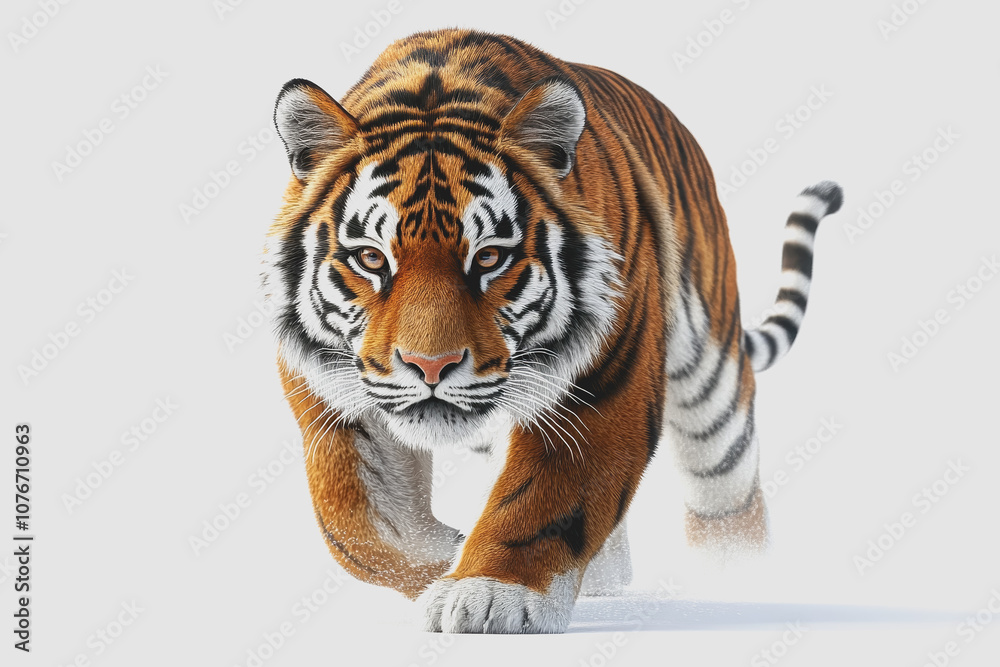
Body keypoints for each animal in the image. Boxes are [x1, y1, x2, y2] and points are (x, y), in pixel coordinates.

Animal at [263, 28, 842, 634]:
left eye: (489, 257)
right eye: (372, 259)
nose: (430, 366)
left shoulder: (605, 380)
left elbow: (540, 501)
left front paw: (488, 594)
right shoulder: (332, 398)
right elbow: (355, 526)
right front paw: (449, 560)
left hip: (712, 388)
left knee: (727, 495)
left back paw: (738, 580)